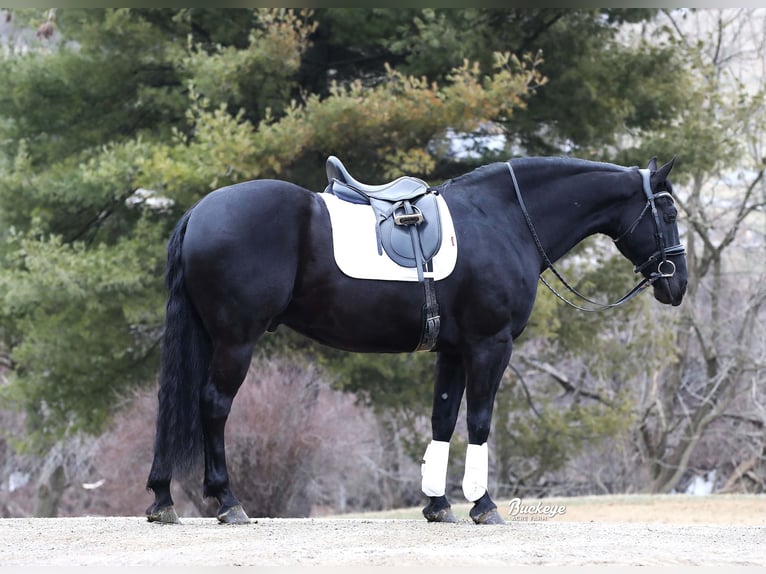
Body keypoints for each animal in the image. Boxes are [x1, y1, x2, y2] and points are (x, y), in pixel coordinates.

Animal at [146, 156, 688, 528]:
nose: (676, 284)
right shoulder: (490, 345)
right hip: (236, 340)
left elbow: (442, 419)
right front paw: (482, 505)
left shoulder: (452, 351)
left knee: (176, 404)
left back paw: (162, 498)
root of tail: (200, 210)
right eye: (666, 211)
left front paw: (437, 504)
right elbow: (479, 421)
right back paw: (228, 502)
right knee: (213, 406)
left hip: (210, 338)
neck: (501, 218)